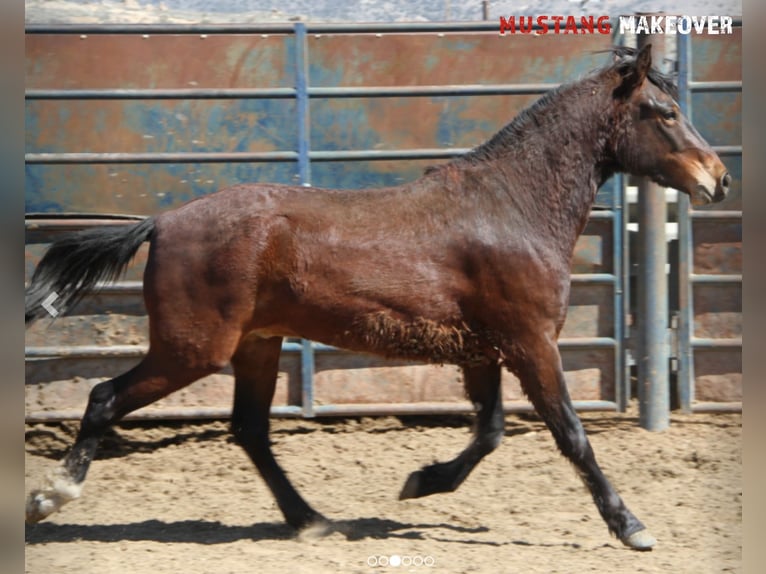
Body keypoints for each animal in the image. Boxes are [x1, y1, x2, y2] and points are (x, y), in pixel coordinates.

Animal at [25, 47, 732, 552]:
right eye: (664, 113)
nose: (719, 179)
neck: (512, 208)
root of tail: (161, 222)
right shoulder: (532, 344)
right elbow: (572, 435)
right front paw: (631, 526)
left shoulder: (484, 350)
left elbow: (490, 433)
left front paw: (421, 482)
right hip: (192, 349)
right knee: (104, 398)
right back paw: (51, 497)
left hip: (256, 345)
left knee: (250, 430)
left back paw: (313, 521)